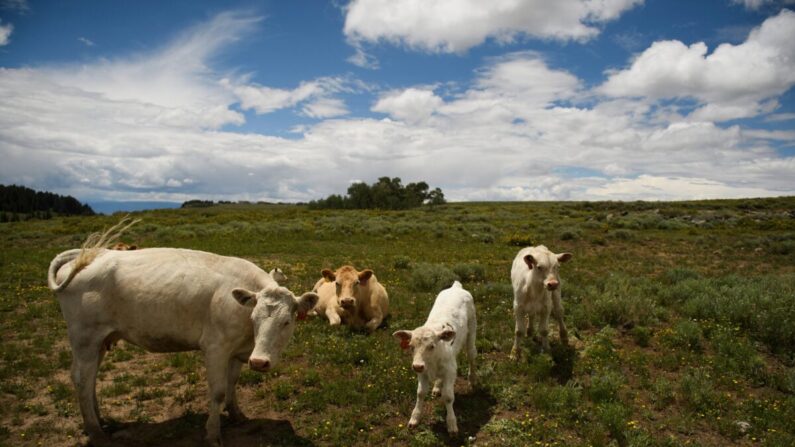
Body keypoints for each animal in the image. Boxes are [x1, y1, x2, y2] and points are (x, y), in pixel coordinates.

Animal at [46, 222, 318, 447]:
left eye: (286, 322)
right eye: (254, 319)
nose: (259, 362)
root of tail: (93, 254)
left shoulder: (237, 351)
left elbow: (232, 383)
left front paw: (237, 414)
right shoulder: (215, 348)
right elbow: (218, 391)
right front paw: (213, 434)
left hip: (100, 341)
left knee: (90, 378)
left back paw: (99, 421)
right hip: (85, 338)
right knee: (81, 378)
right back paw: (96, 432)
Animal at [394, 282, 478, 436]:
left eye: (431, 346)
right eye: (411, 346)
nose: (417, 366)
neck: (432, 362)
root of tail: (456, 287)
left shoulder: (451, 370)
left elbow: (448, 397)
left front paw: (451, 424)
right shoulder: (422, 372)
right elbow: (420, 393)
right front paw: (414, 418)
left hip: (472, 330)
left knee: (471, 355)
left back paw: (473, 379)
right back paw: (437, 387)